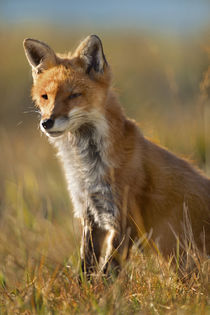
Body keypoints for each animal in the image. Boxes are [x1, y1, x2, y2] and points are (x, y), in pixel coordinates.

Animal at [23, 35, 210, 276]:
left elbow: (107, 273)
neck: (88, 168)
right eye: (45, 96)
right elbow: (85, 267)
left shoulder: (124, 217)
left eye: (74, 95)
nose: (47, 122)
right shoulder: (90, 214)